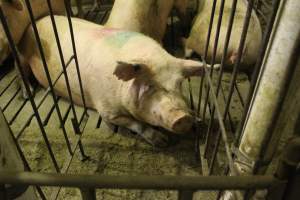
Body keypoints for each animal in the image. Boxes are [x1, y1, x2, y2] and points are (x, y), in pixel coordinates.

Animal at [18, 15, 211, 147]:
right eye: (149, 86)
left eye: (179, 84)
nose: (182, 117)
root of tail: (35, 21)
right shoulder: (106, 110)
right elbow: (136, 124)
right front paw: (161, 141)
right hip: (22, 57)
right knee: (21, 72)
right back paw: (27, 94)